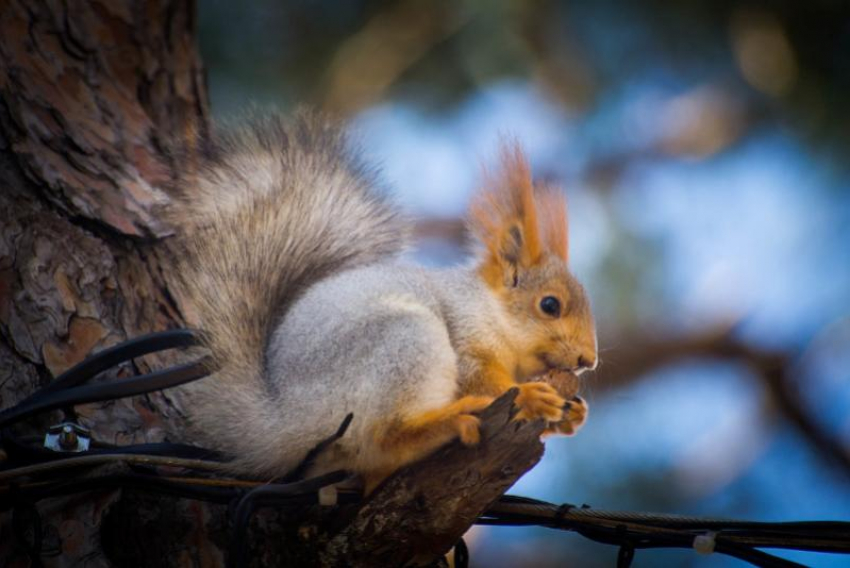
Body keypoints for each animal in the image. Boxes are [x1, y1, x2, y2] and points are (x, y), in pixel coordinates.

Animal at [172, 112, 596, 492]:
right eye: (550, 305)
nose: (588, 361)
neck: (490, 310)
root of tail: (282, 420)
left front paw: (571, 414)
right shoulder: (465, 334)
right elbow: (481, 377)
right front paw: (528, 395)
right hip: (402, 342)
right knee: (382, 437)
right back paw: (447, 423)